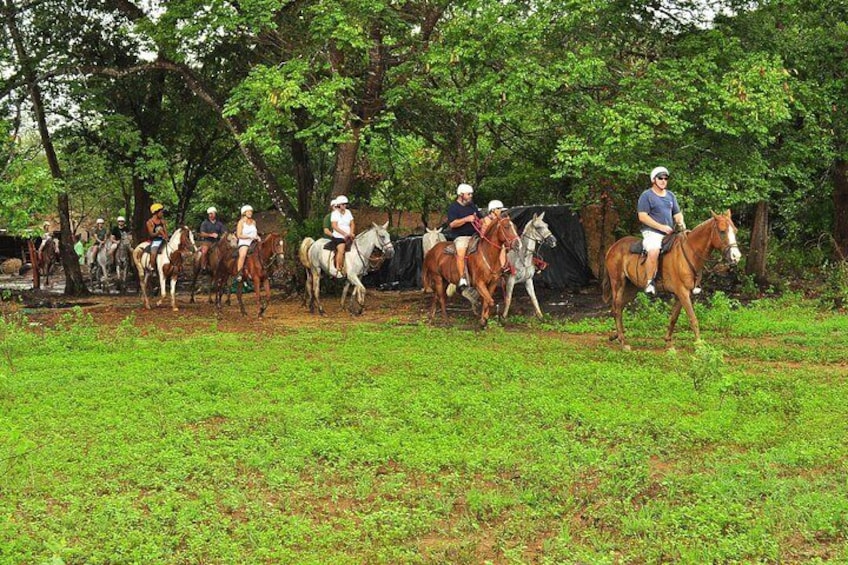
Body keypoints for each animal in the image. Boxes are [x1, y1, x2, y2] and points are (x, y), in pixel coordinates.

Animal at [604, 208, 744, 348]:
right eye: (722, 231)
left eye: (735, 230)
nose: (736, 256)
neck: (690, 253)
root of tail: (613, 247)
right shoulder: (682, 292)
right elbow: (693, 318)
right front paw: (699, 344)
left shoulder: (682, 294)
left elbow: (674, 317)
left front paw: (668, 341)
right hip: (618, 283)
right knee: (617, 308)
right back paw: (623, 341)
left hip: (632, 288)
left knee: (619, 307)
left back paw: (616, 335)